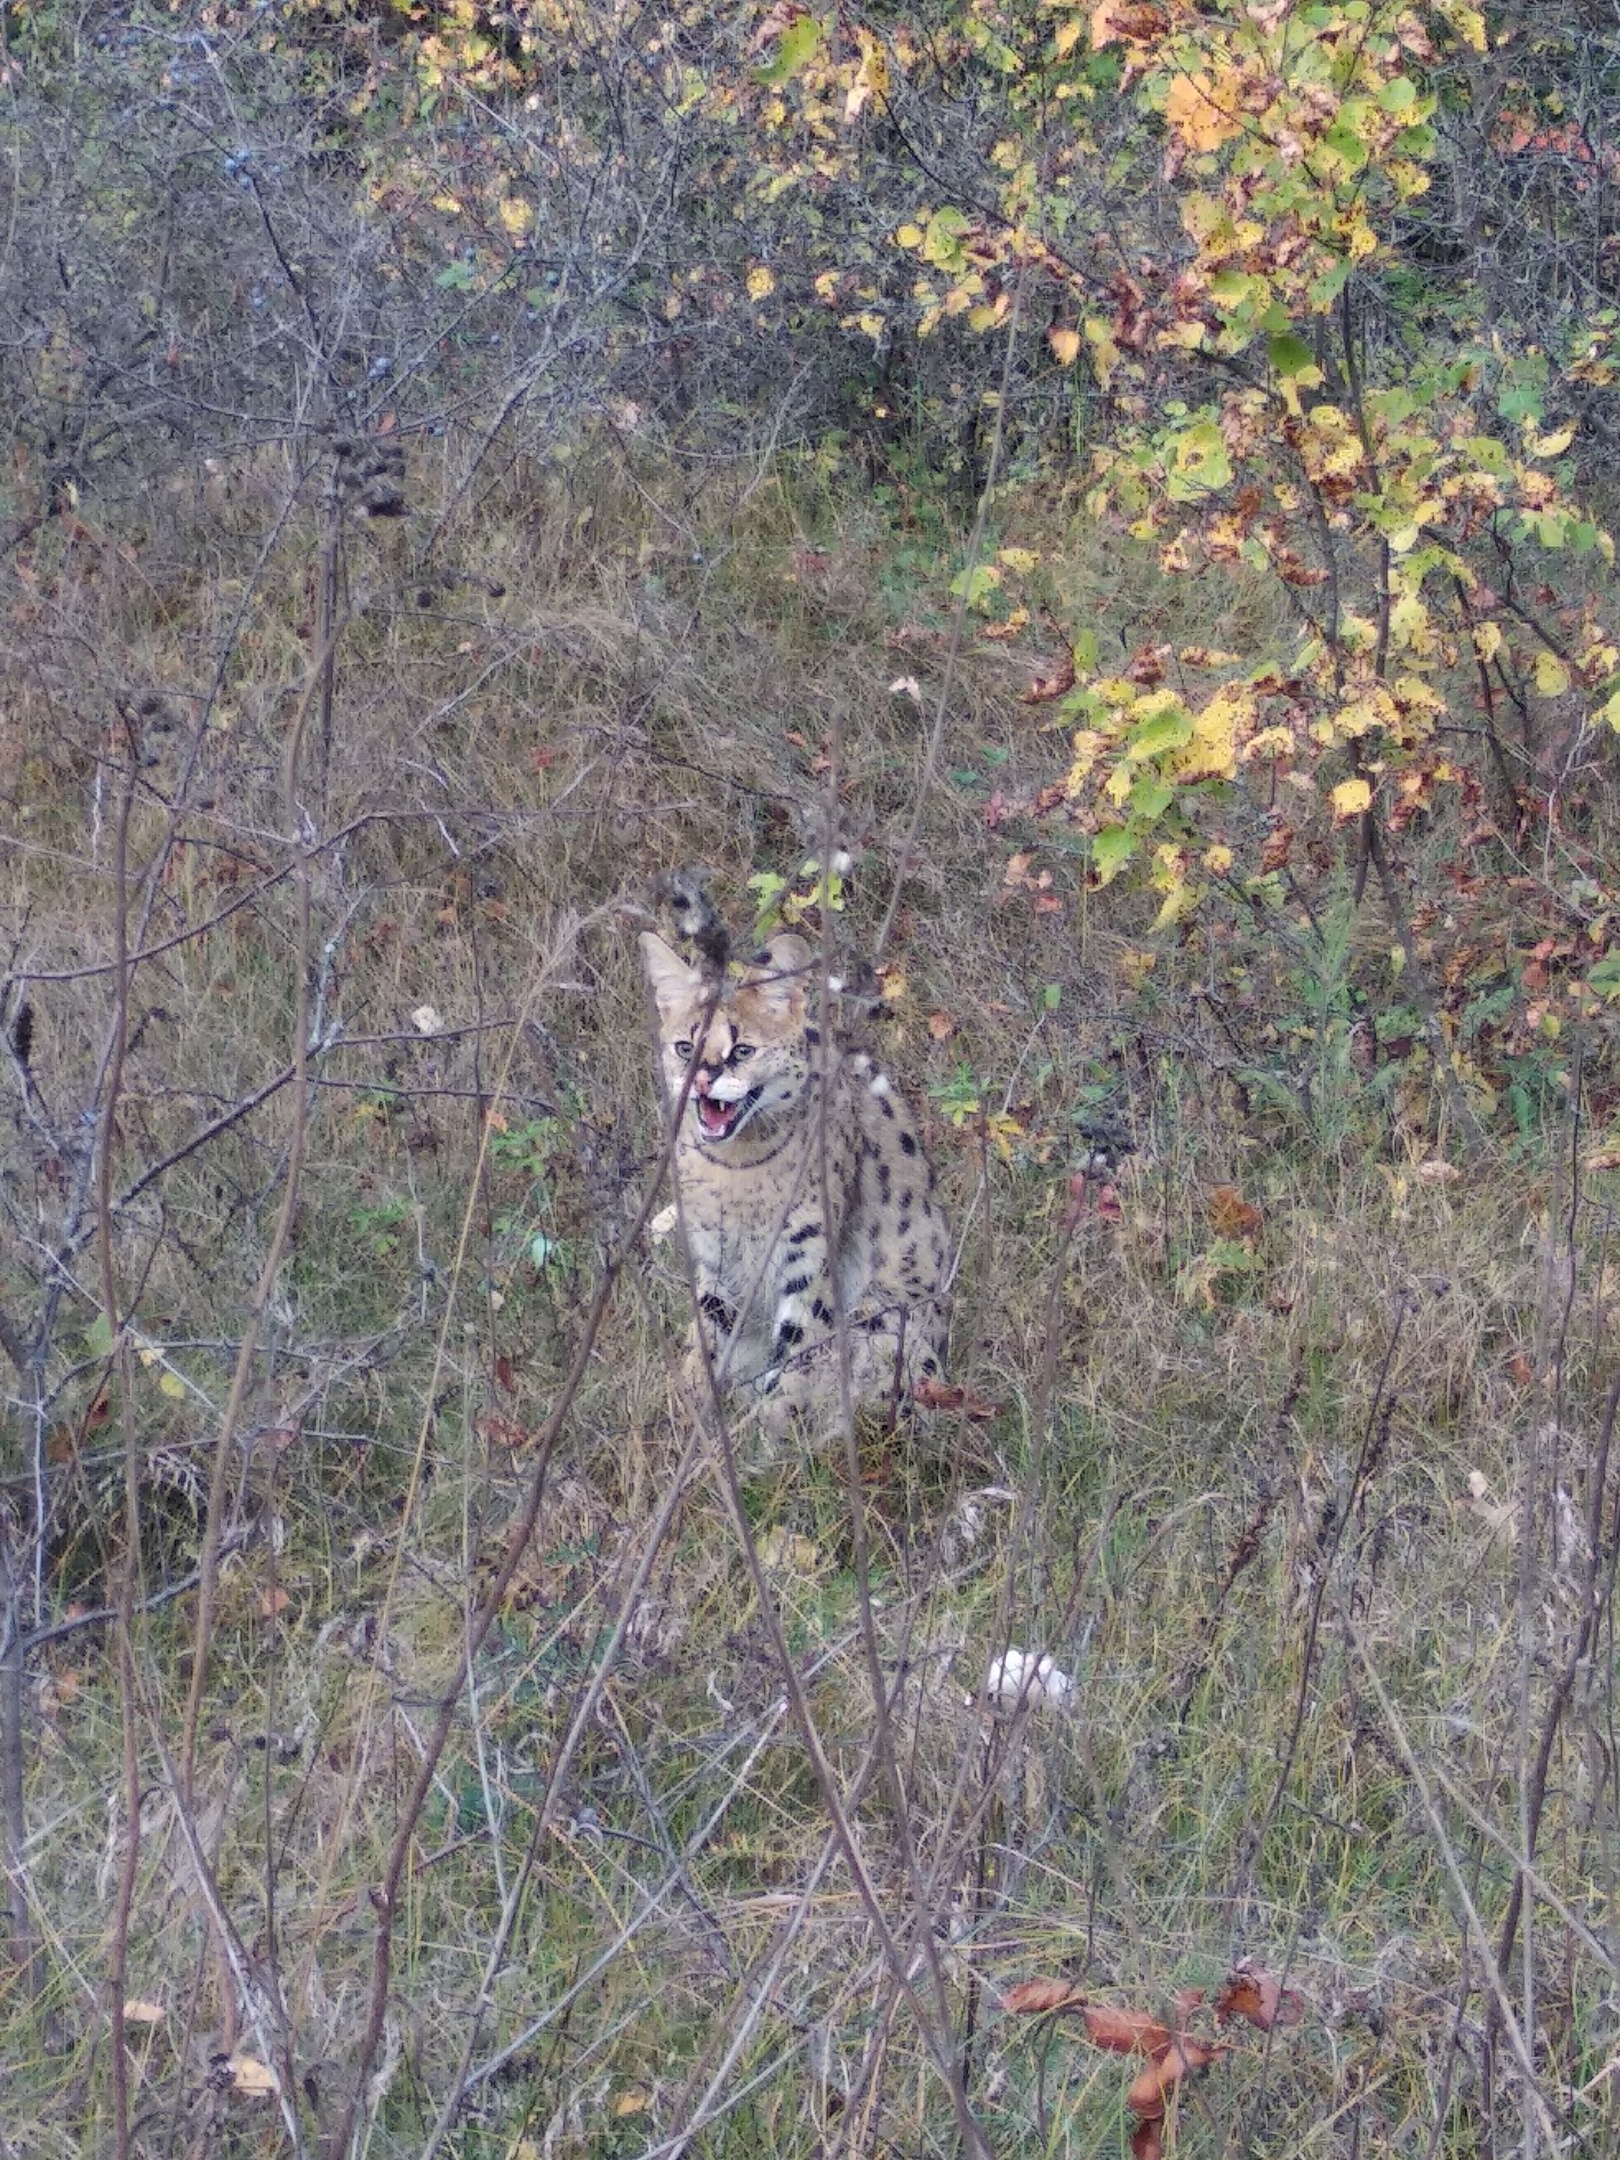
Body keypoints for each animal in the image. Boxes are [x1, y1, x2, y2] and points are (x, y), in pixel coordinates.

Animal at [643, 933, 959, 1425]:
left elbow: (794, 1362)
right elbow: (711, 1342)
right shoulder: (714, 1259)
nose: (701, 1082)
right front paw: (692, 1416)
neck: (734, 1166)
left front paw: (763, 1435)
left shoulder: (809, 1263)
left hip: (885, 1310)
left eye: (742, 1051)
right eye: (684, 1048)